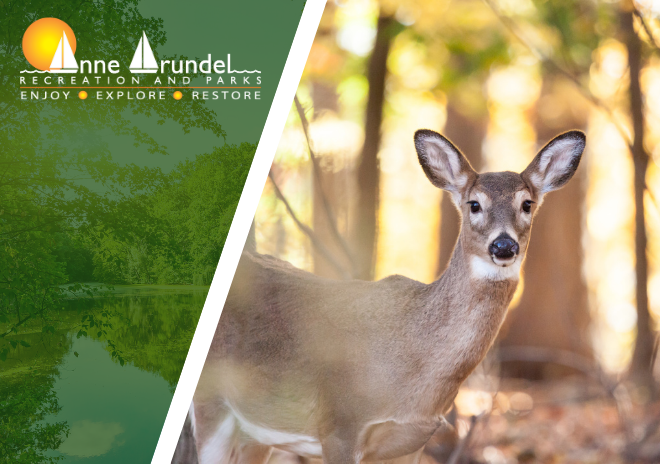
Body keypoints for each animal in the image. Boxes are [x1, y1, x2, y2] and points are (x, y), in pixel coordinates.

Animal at [186, 129, 586, 464]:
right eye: (474, 204)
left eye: (527, 204)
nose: (504, 246)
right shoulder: (340, 423)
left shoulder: (410, 441)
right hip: (210, 401)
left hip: (256, 432)